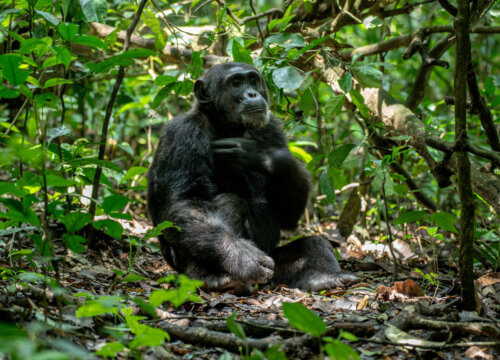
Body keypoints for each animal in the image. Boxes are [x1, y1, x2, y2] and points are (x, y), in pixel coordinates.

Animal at [146, 62, 358, 292]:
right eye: (236, 83)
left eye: (253, 80)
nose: (252, 93)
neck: (225, 126)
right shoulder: (184, 135)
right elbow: (185, 201)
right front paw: (242, 258)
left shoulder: (272, 129)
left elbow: (288, 214)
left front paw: (266, 156)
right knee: (229, 202)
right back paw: (212, 277)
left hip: (276, 267)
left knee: (313, 243)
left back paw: (323, 276)